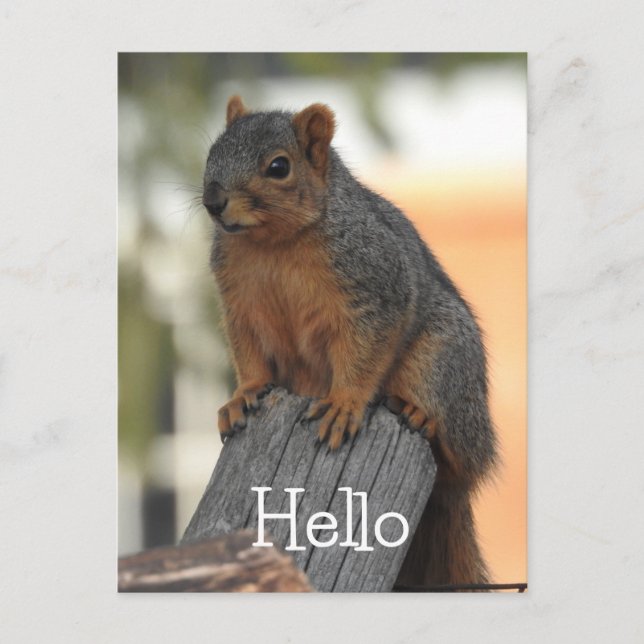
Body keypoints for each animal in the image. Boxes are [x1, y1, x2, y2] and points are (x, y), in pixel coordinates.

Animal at [202, 95, 498, 587]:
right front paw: (243, 395)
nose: (212, 201)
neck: (273, 244)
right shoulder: (240, 306)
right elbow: (251, 357)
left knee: (460, 454)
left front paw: (344, 403)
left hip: (441, 362)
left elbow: (364, 351)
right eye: (212, 152)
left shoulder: (374, 287)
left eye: (278, 166)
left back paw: (420, 415)